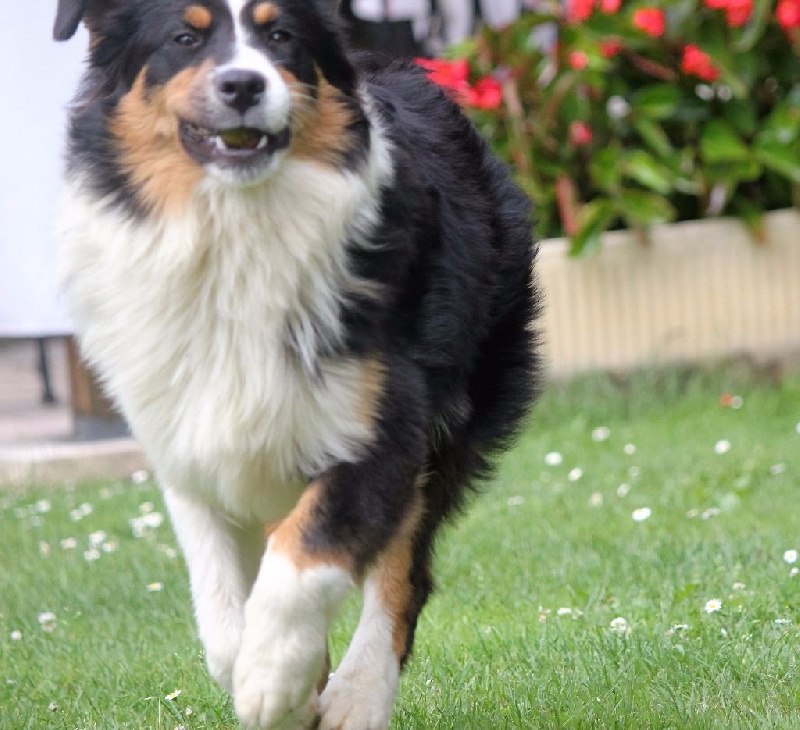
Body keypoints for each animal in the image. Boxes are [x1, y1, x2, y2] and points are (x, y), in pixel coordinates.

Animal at [54, 2, 544, 724]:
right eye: (184, 37)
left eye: (280, 35)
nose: (243, 85)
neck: (235, 227)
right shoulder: (184, 431)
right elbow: (220, 604)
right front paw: (276, 679)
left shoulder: (382, 420)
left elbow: (308, 552)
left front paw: (272, 677)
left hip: (454, 410)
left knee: (405, 566)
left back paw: (359, 695)